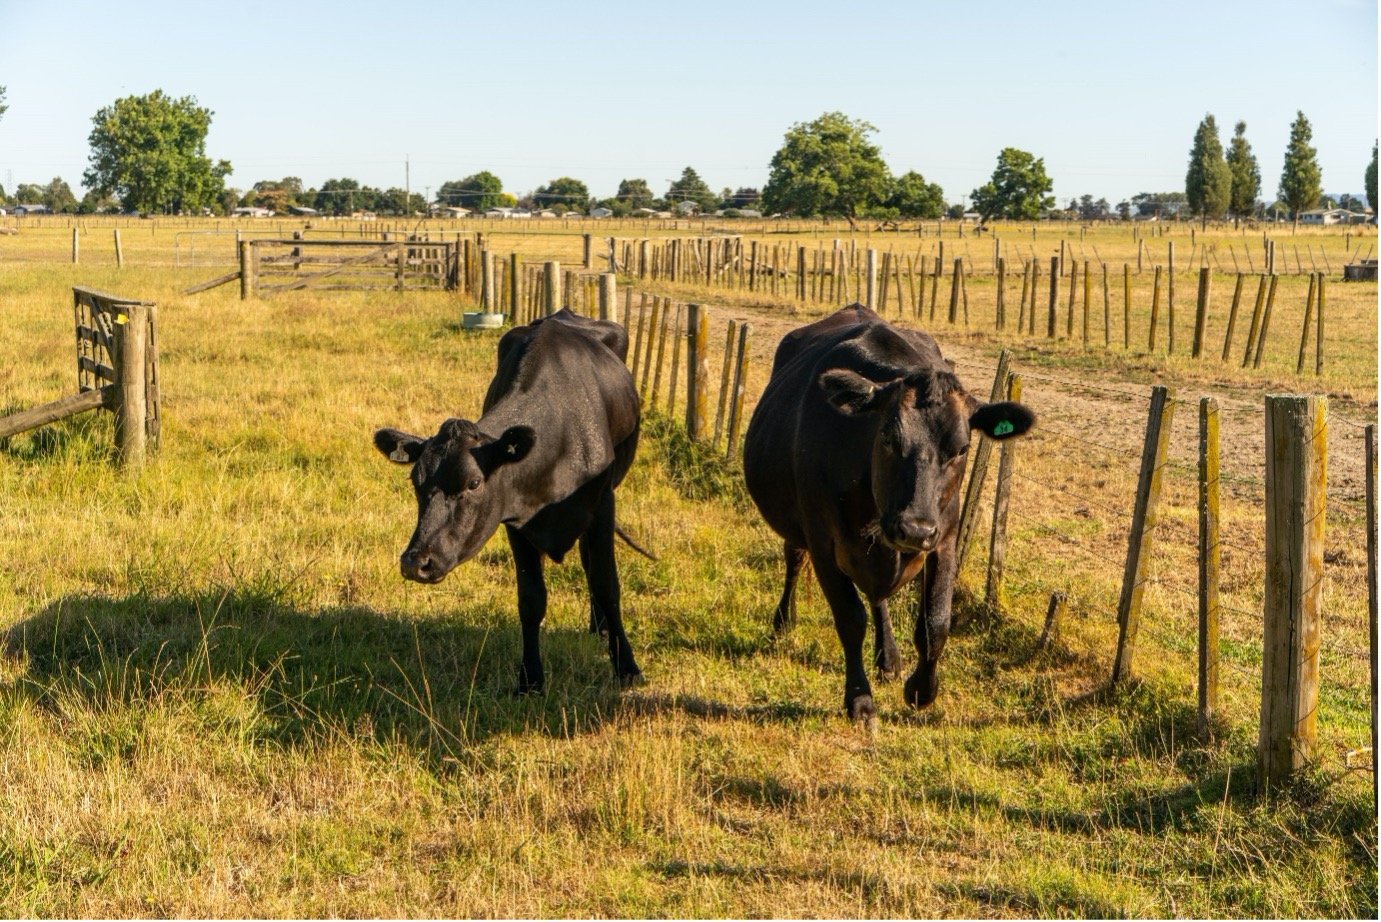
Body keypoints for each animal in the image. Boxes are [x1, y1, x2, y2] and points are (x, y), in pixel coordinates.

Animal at [373, 308, 643, 693]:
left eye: (473, 483)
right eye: (415, 481)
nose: (415, 562)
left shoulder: (602, 505)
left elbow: (607, 583)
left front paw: (626, 667)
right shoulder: (516, 518)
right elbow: (530, 600)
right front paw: (530, 680)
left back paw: (601, 627)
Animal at [743, 304, 1034, 723]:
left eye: (962, 448)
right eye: (887, 437)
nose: (914, 529)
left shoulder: (944, 536)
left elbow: (936, 622)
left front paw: (922, 689)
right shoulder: (822, 538)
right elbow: (849, 618)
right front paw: (859, 699)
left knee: (877, 594)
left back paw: (889, 657)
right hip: (800, 528)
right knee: (794, 559)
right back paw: (784, 621)